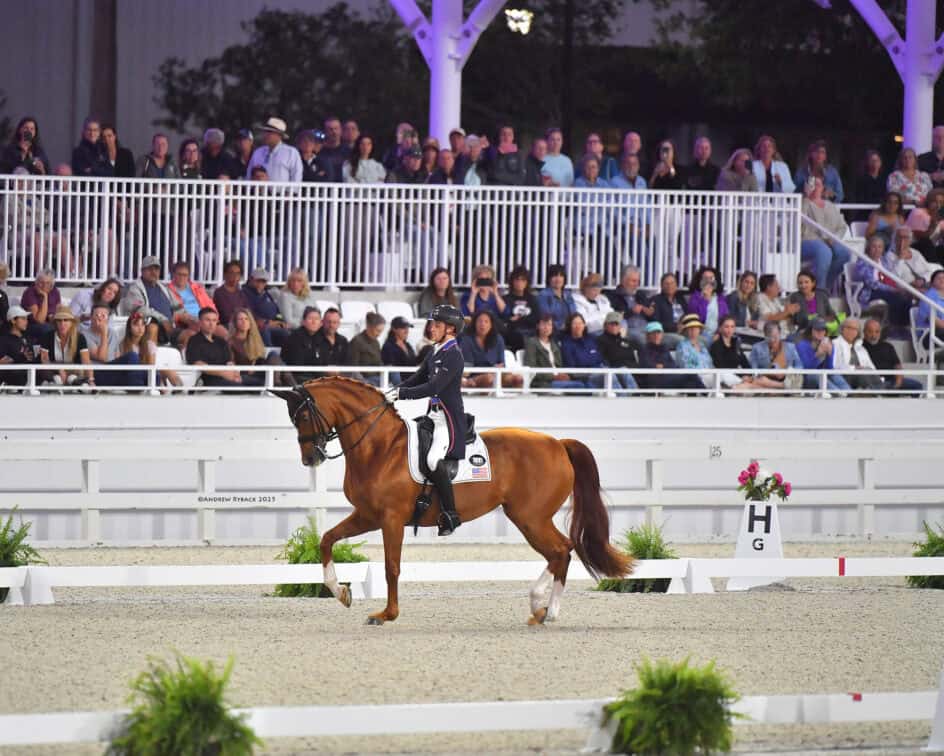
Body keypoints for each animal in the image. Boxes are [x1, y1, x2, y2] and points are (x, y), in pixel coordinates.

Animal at [275, 377, 633, 625]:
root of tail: (558, 443)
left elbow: (392, 567)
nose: (311, 458)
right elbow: (326, 539)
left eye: (303, 417)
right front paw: (341, 593)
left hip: (530, 517)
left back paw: (545, 608)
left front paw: (386, 614)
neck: (380, 447)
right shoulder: (367, 515)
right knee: (560, 552)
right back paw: (542, 610)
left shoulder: (391, 519)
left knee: (560, 550)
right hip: (529, 518)